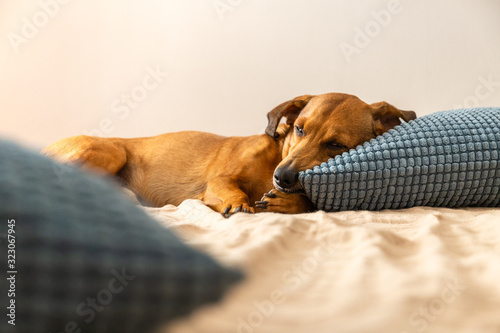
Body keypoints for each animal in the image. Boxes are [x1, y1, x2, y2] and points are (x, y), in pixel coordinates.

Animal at [42, 92, 414, 215]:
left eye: (336, 145)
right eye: (299, 129)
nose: (283, 177)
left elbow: (306, 200)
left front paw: (290, 202)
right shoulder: (220, 180)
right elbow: (232, 191)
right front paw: (239, 203)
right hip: (107, 150)